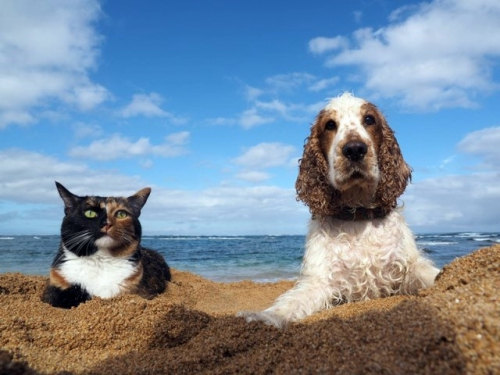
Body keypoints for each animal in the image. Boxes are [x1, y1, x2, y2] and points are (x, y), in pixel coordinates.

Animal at [240, 92, 440, 328]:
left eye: (369, 119)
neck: (358, 215)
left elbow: (432, 275)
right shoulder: (320, 280)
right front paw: (264, 317)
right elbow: (290, 303)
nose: (354, 149)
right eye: (330, 125)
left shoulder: (408, 266)